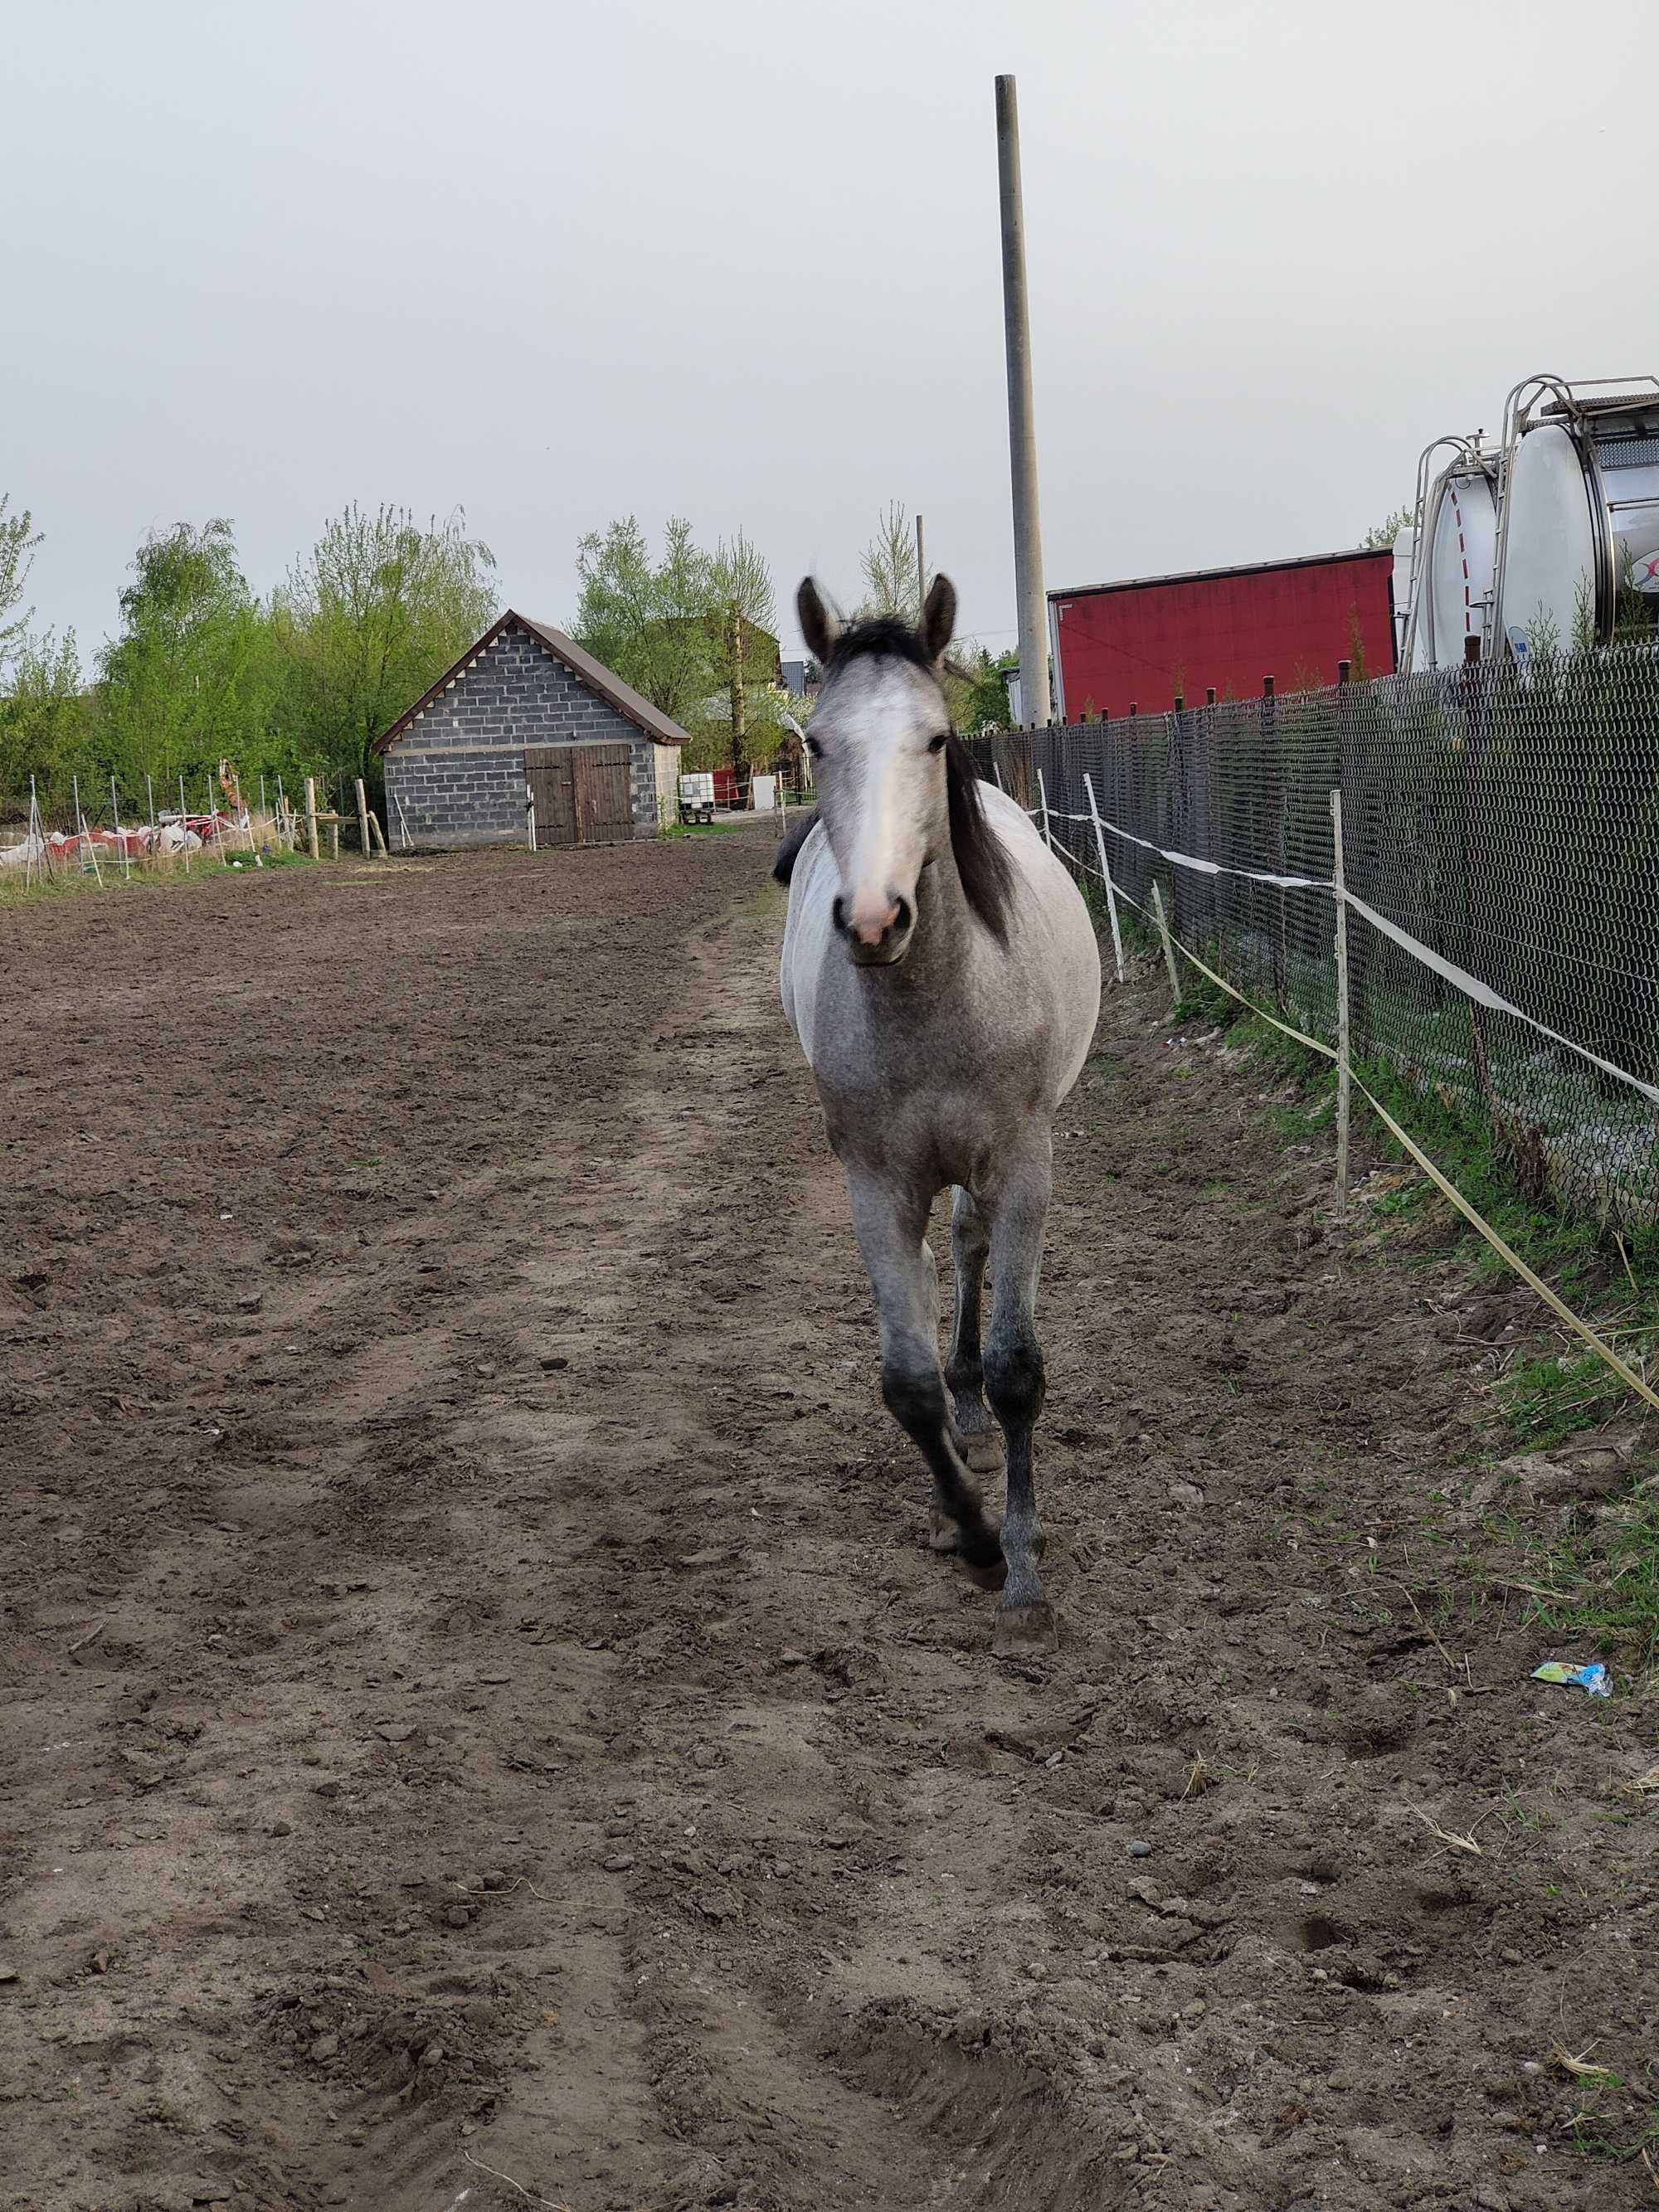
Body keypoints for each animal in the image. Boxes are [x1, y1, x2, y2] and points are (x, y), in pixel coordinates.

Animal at [778, 579, 1106, 1654]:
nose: (874, 918)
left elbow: (1014, 1370)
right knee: (933, 1276)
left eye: (931, 739)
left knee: (965, 1251)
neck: (935, 999)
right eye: (816, 743)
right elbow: (907, 1383)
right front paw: (968, 1533)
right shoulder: (874, 1182)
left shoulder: (1020, 1165)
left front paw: (1024, 1569)